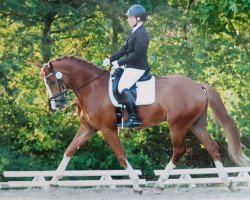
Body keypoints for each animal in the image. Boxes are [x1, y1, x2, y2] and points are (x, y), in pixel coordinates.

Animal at [36, 55, 248, 193]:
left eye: (51, 80)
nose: (56, 105)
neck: (92, 87)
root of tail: (197, 85)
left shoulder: (107, 129)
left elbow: (120, 155)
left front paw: (137, 185)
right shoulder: (88, 128)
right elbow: (70, 150)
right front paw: (52, 182)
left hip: (177, 125)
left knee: (179, 150)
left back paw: (160, 183)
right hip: (196, 124)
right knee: (212, 147)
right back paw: (228, 183)